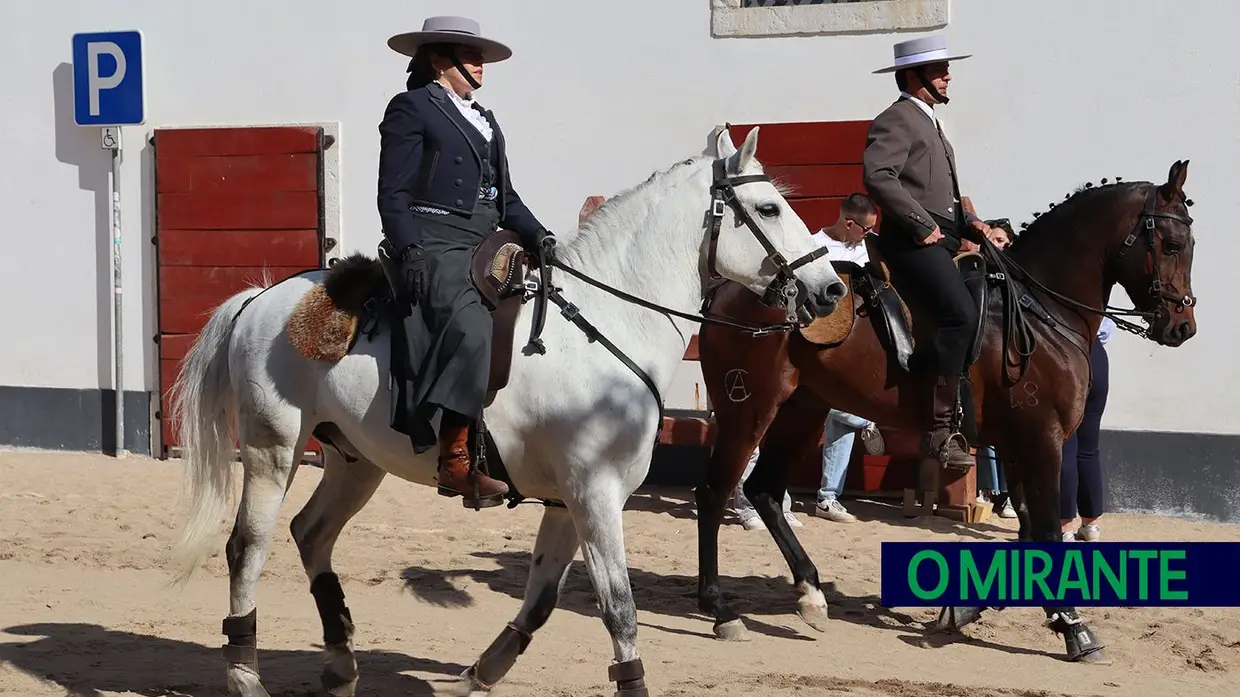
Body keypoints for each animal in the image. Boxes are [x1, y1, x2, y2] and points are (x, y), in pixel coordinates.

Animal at [169, 125, 848, 694]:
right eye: (769, 209)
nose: (833, 290)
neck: (607, 325)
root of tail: (260, 298)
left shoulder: (570, 501)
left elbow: (543, 600)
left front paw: (475, 676)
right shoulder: (595, 494)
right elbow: (619, 608)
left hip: (356, 460)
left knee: (312, 534)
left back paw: (340, 664)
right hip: (273, 448)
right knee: (247, 546)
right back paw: (245, 674)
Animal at [694, 158, 1195, 659]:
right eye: (1172, 244)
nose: (1182, 327)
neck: (1040, 312)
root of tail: (727, 288)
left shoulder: (1017, 446)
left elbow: (1028, 533)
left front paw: (968, 610)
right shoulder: (1043, 442)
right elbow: (1049, 533)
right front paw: (1073, 625)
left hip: (800, 410)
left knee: (763, 490)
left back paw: (810, 593)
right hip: (748, 409)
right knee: (715, 491)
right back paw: (720, 608)